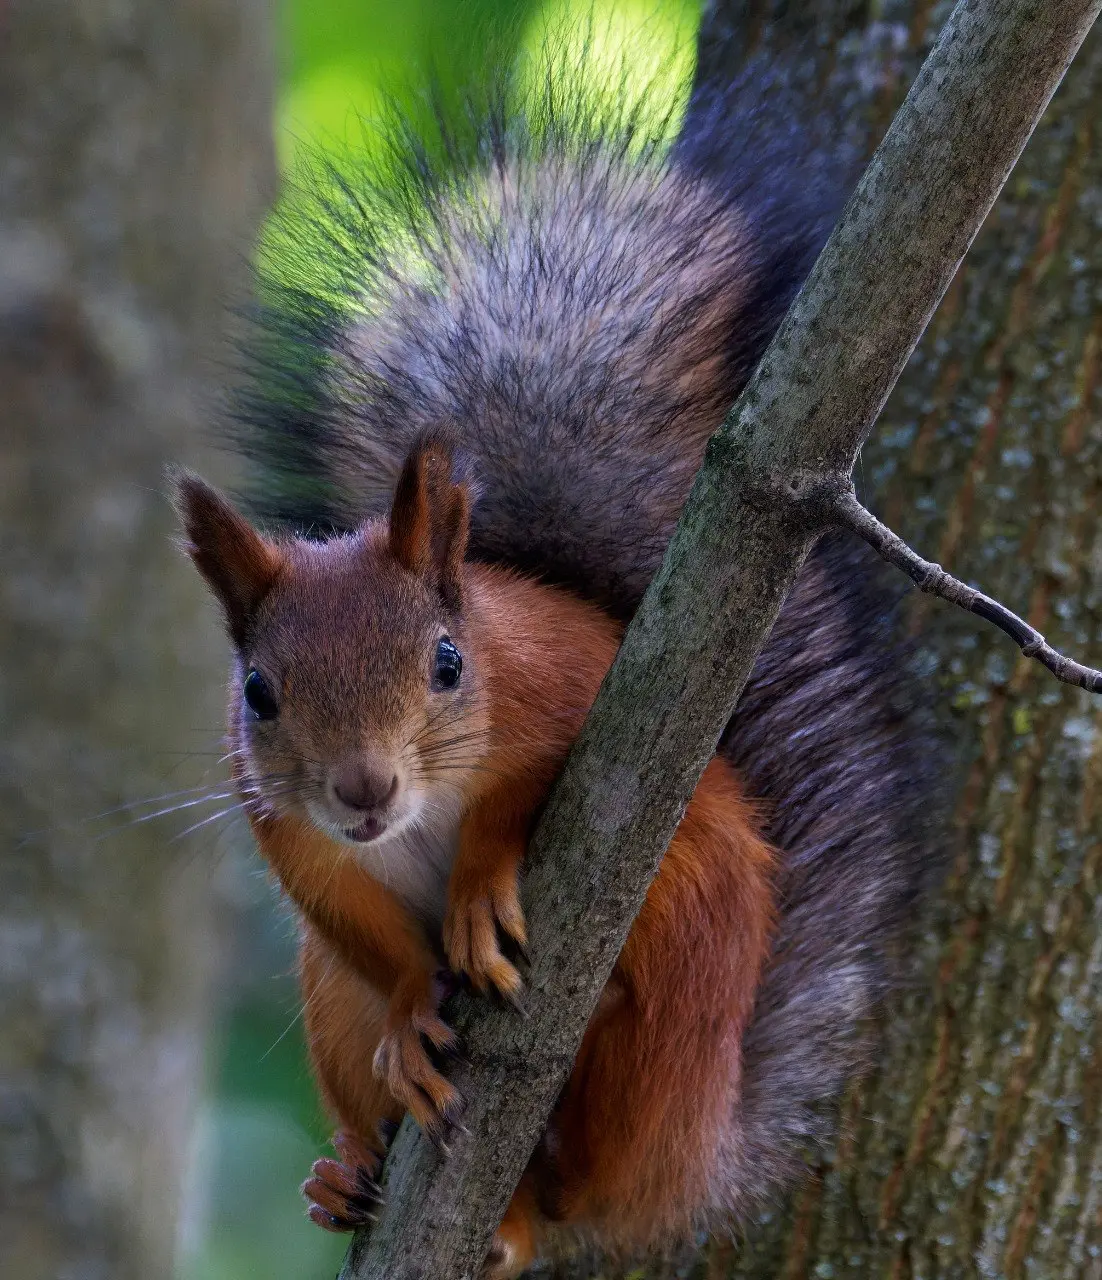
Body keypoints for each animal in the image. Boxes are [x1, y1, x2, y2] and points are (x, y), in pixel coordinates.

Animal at [175, 42, 943, 1280]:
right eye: (258, 691)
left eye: (447, 661)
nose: (362, 788)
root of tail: (699, 1152)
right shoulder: (279, 817)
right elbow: (342, 909)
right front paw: (411, 1003)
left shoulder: (585, 696)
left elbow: (549, 788)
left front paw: (483, 883)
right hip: (327, 1007)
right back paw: (345, 1177)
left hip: (669, 1009)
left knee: (578, 1183)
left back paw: (528, 1209)